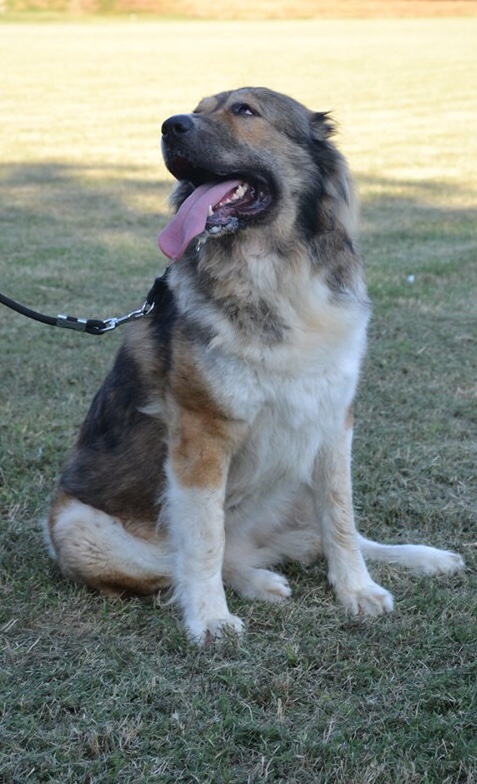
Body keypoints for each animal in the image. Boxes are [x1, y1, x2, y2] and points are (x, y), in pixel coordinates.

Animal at [43, 86, 462, 644]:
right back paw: (260, 582)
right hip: (81, 532)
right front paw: (210, 620)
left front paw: (356, 590)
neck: (274, 277)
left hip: (294, 479)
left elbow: (342, 521)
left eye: (244, 110)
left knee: (319, 537)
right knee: (190, 562)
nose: (170, 125)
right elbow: (203, 542)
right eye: (197, 109)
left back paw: (425, 558)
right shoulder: (201, 437)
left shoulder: (333, 425)